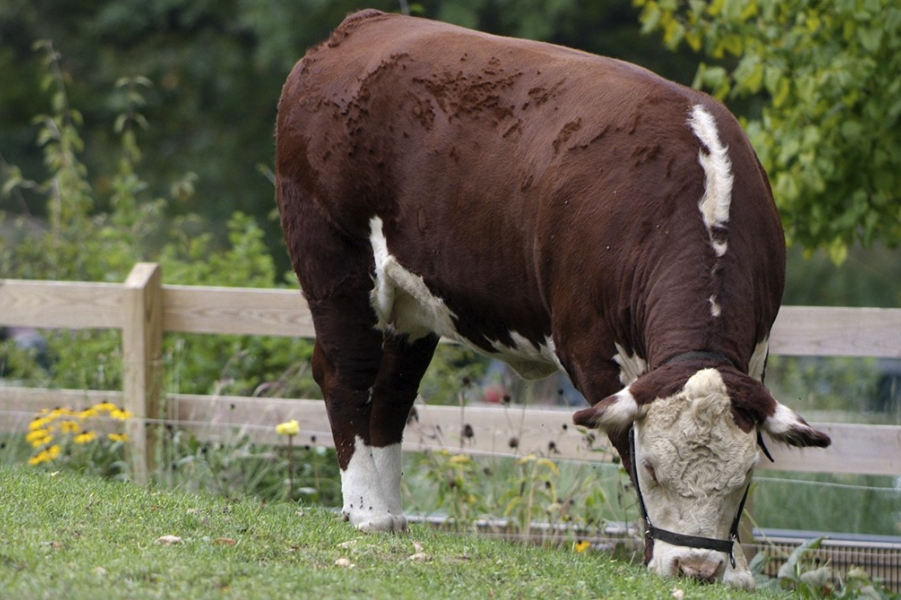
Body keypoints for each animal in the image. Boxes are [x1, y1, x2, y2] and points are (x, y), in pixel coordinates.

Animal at [276, 9, 828, 588]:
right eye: (653, 468)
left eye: (744, 473)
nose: (694, 567)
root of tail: (360, 26)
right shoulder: (589, 347)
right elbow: (622, 437)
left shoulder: (758, 351)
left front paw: (738, 569)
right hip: (335, 269)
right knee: (347, 374)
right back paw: (365, 511)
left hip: (413, 307)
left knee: (390, 394)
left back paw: (389, 512)